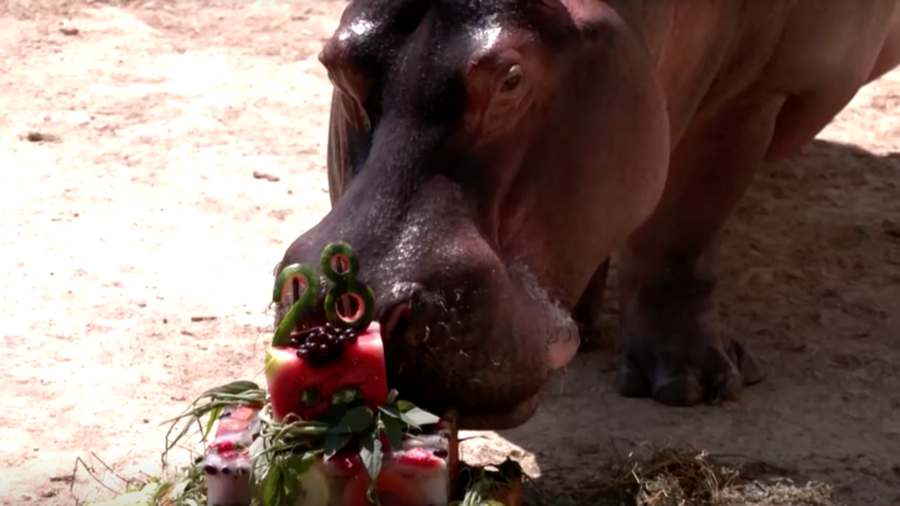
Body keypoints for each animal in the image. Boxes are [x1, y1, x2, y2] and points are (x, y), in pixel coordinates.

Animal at [277, 0, 900, 431]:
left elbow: (680, 237)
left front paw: (693, 387)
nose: (356, 302)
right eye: (334, 62)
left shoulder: (750, 95)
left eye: (511, 77)